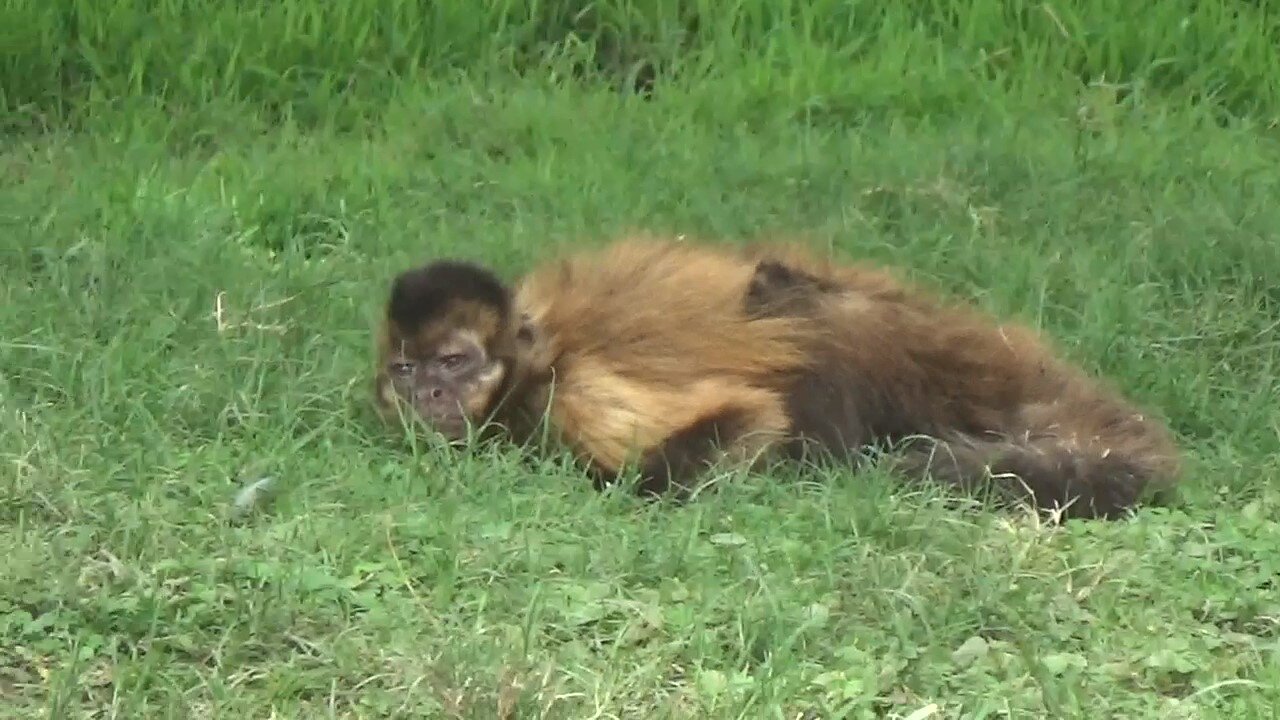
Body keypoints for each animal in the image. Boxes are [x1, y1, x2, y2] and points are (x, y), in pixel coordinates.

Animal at [373, 233, 1182, 517]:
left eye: (454, 362)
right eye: (405, 370)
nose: (430, 393)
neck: (533, 356)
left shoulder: (571, 391)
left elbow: (752, 418)